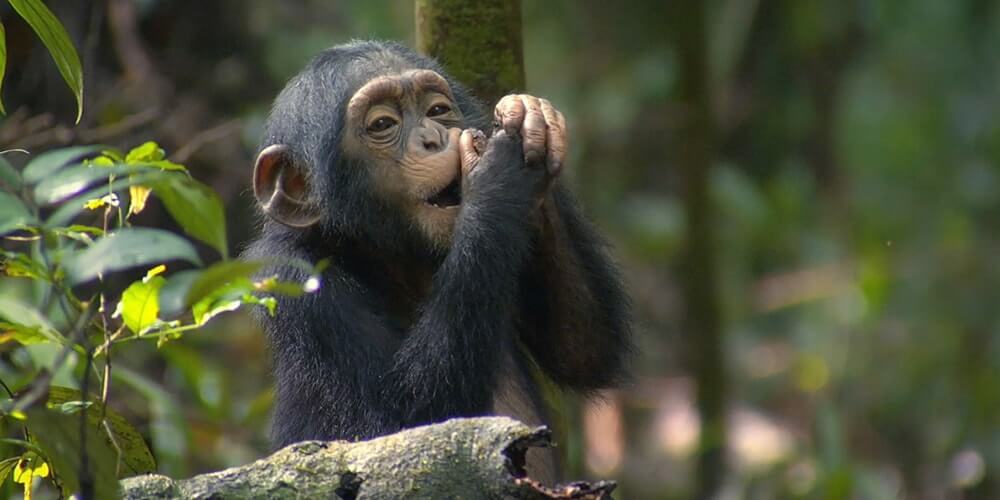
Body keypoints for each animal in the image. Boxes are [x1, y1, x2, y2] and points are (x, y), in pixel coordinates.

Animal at [244, 40, 632, 480]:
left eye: (437, 110)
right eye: (382, 124)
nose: (433, 137)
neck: (392, 258)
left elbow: (582, 351)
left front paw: (530, 119)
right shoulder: (292, 277)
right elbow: (408, 432)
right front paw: (497, 173)